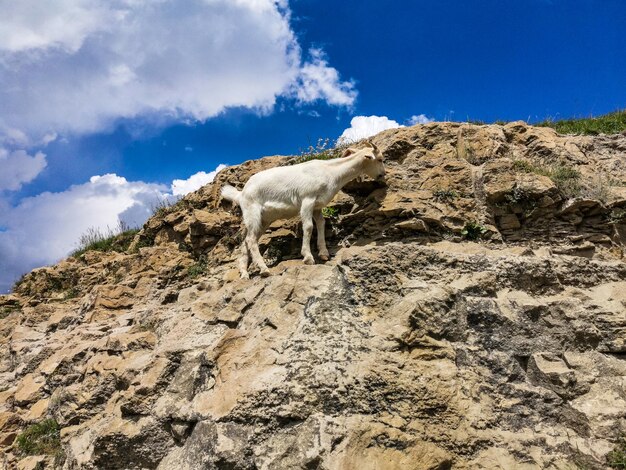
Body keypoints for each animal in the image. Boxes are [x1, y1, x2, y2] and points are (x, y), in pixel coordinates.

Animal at [219, 141, 386, 278]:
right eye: (380, 159)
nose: (382, 175)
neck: (330, 172)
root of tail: (241, 194)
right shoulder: (307, 199)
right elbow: (308, 227)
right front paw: (308, 257)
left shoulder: (317, 206)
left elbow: (321, 224)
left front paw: (324, 253)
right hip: (252, 212)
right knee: (251, 240)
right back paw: (264, 269)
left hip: (264, 219)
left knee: (245, 242)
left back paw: (244, 273)